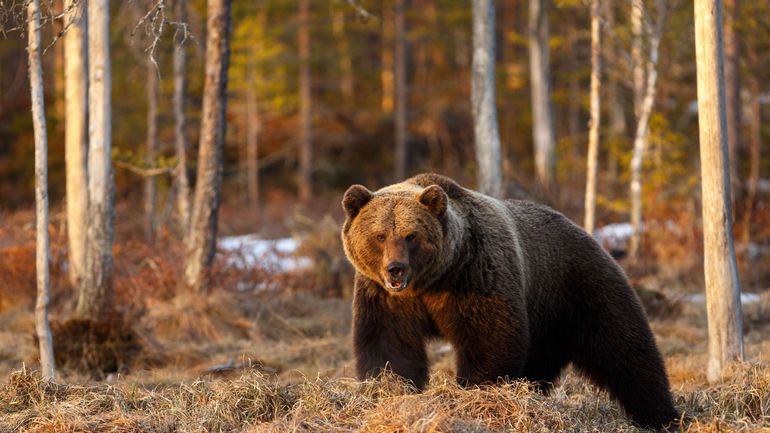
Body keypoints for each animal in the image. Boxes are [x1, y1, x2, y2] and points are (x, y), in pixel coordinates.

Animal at [340, 173, 676, 428]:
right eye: (380, 235)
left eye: (411, 235)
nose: (395, 268)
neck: (431, 281)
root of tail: (587, 232)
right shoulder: (386, 297)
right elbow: (389, 345)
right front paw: (389, 389)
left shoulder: (477, 274)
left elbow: (489, 338)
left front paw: (474, 395)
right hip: (546, 323)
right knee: (542, 363)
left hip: (579, 287)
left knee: (626, 350)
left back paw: (661, 416)